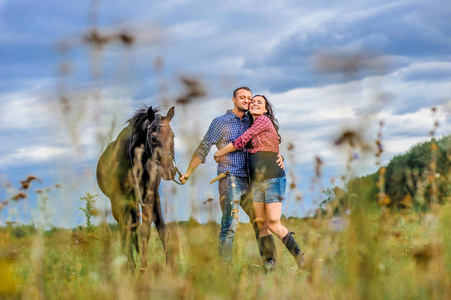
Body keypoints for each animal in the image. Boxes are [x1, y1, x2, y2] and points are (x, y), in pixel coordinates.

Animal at [97, 105, 180, 272]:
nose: (170, 171)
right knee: (126, 230)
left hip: (151, 199)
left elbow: (144, 232)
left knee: (160, 227)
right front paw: (131, 265)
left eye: (173, 136)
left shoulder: (147, 198)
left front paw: (143, 268)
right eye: (153, 138)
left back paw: (170, 265)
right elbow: (127, 231)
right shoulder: (119, 201)